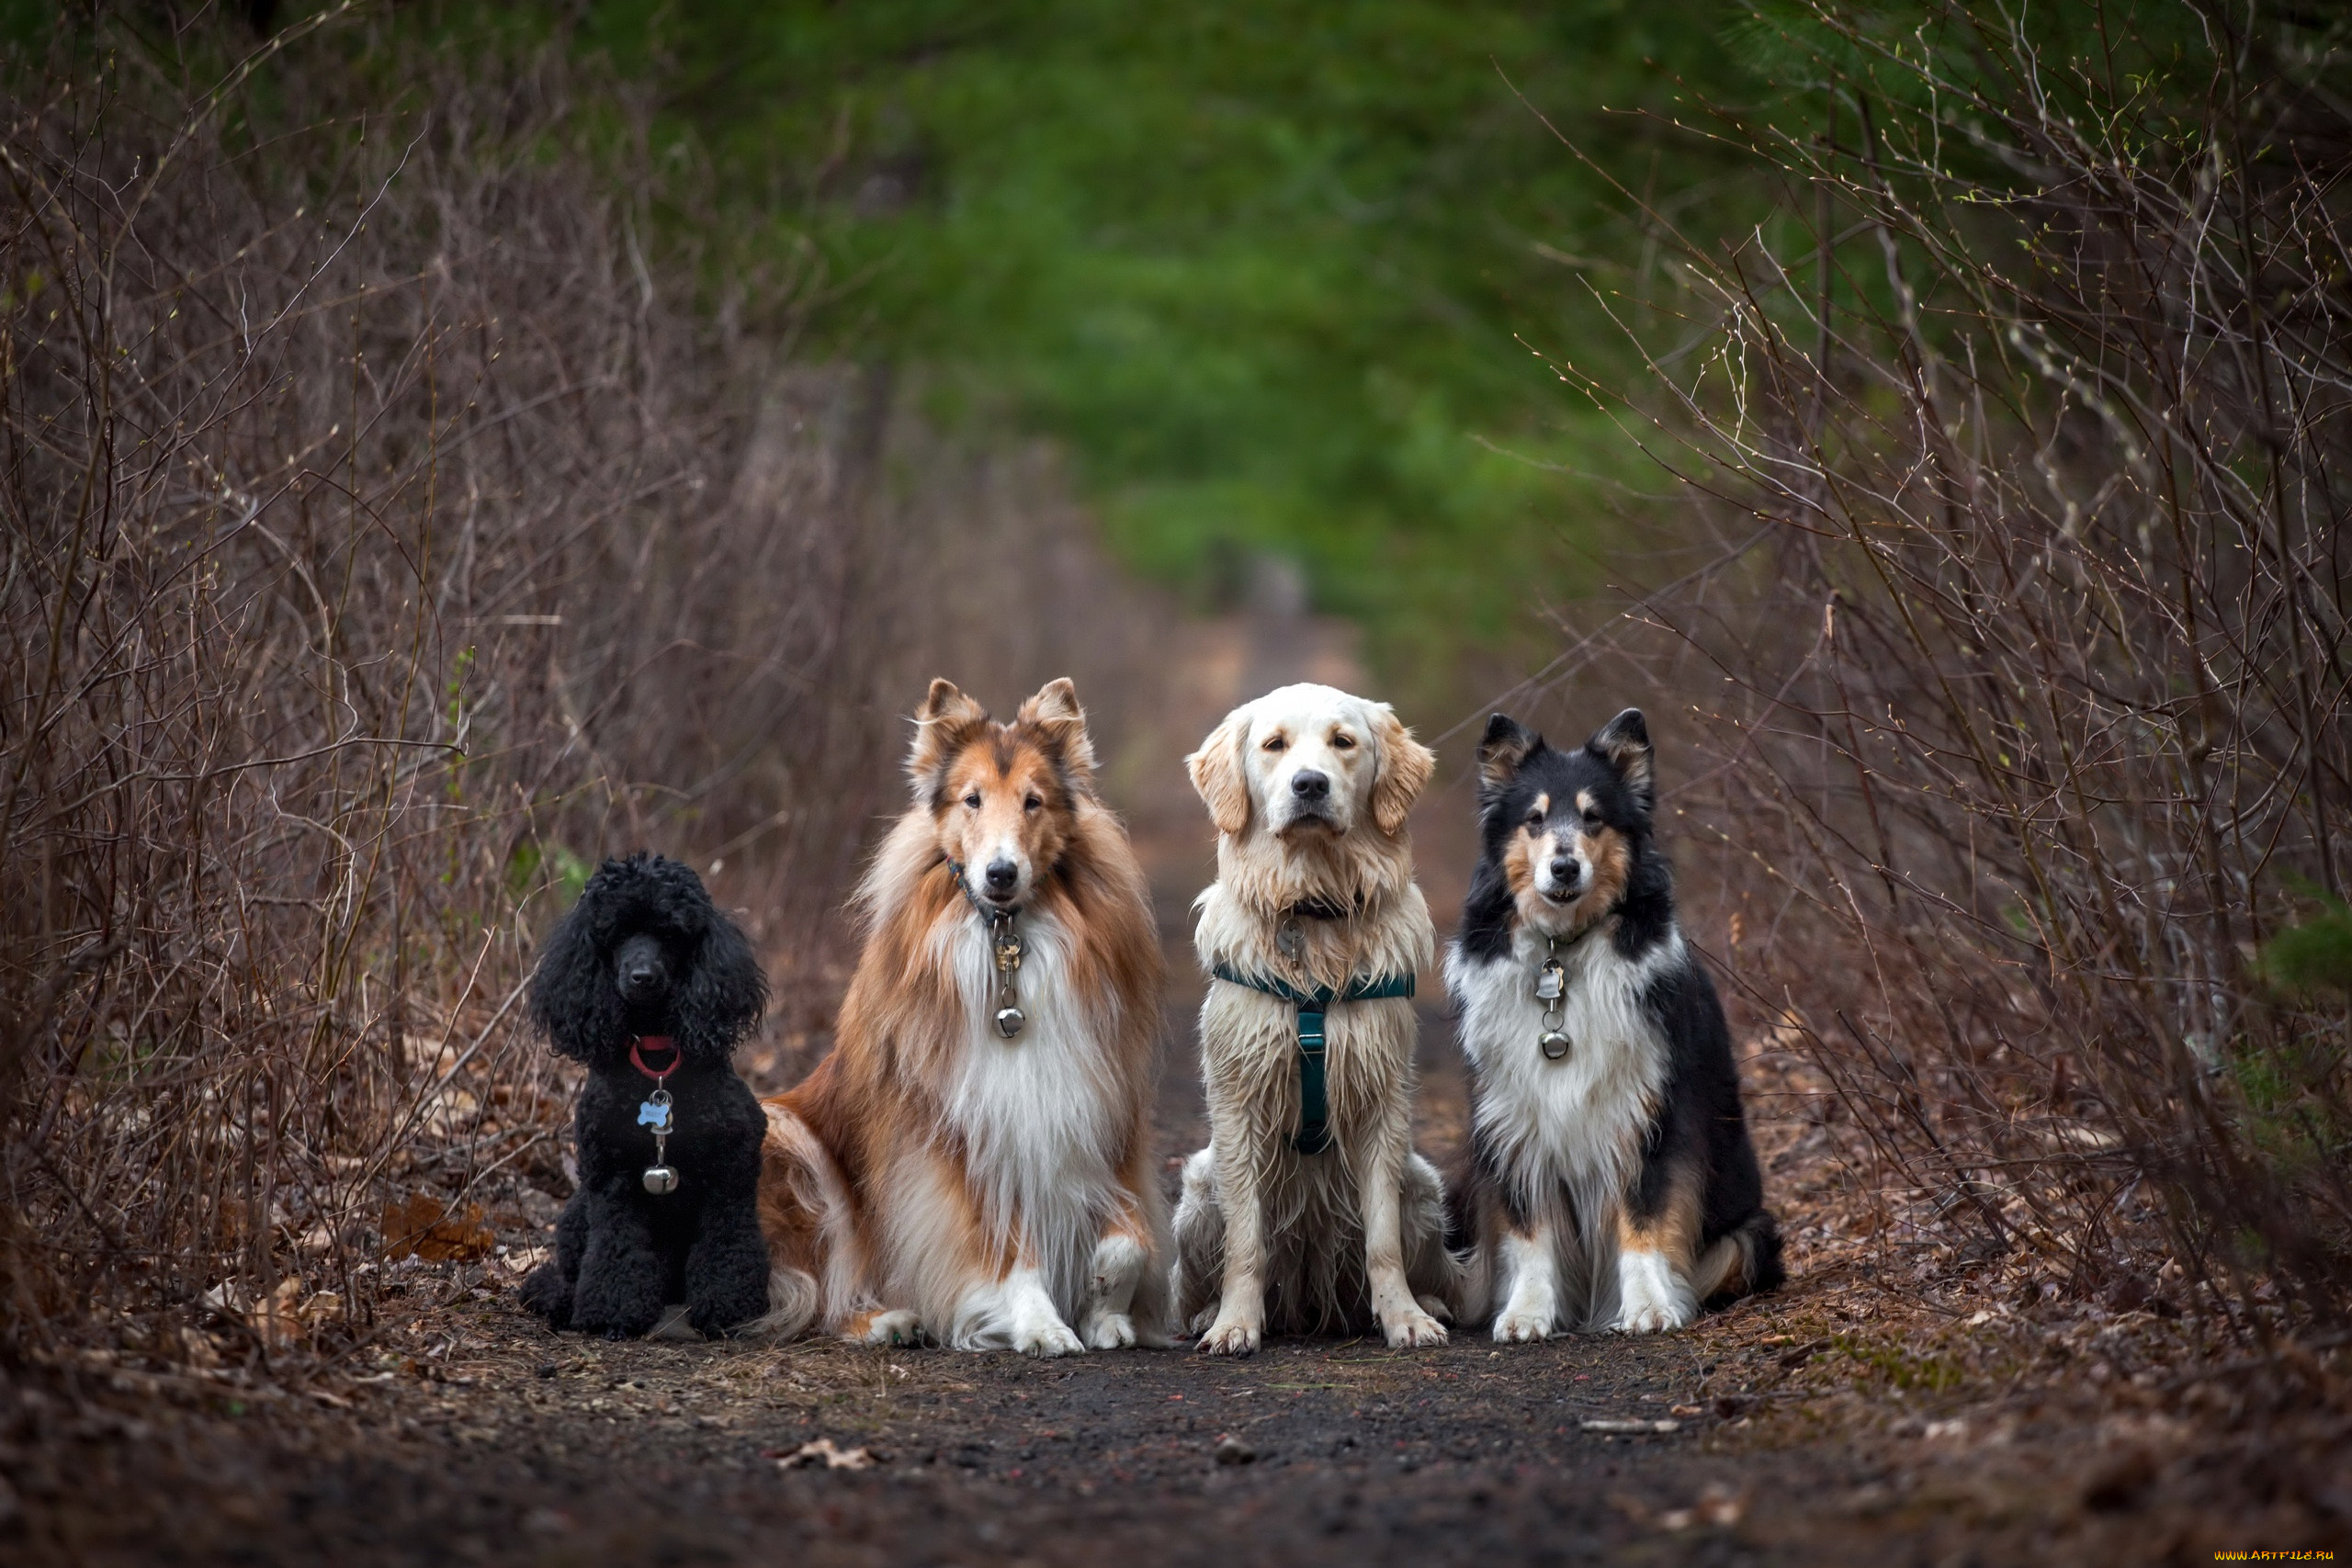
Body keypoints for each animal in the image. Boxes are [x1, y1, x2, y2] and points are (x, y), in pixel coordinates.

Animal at [752, 682, 1166, 1354]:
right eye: (971, 799)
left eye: (1033, 801)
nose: (1000, 874)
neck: (1009, 942)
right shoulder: (968, 1138)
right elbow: (1009, 1250)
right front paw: (1041, 1324)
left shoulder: (1103, 1112)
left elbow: (1130, 1237)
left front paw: (1106, 1306)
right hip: (786, 1134)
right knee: (821, 1290)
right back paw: (887, 1320)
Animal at [1166, 682, 1458, 1354]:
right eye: (1274, 744)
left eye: (1342, 742)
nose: (1309, 784)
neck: (1312, 907)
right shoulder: (1239, 1098)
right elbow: (1245, 1242)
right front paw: (1234, 1323)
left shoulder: (1382, 1096)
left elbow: (1383, 1241)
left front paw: (1405, 1317)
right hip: (1198, 1188)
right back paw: (1206, 1313)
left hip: (1423, 1186)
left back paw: (1431, 1301)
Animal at [1430, 709, 1778, 1335]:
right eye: (1535, 819)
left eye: (1594, 818)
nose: (1564, 867)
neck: (1562, 952)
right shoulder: (1516, 1121)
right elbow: (1528, 1230)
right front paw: (1527, 1312)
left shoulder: (1646, 1116)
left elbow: (1644, 1220)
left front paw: (1648, 1306)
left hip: (1751, 1236)